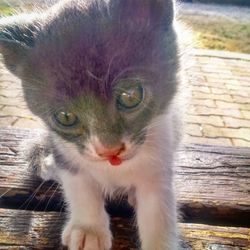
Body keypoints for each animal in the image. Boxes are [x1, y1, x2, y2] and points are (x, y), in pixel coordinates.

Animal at [0, 0, 183, 249]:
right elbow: (78, 183)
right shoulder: (63, 148)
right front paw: (88, 229)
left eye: (130, 96)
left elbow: (158, 208)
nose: (109, 150)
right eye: (65, 117)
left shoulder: (161, 155)